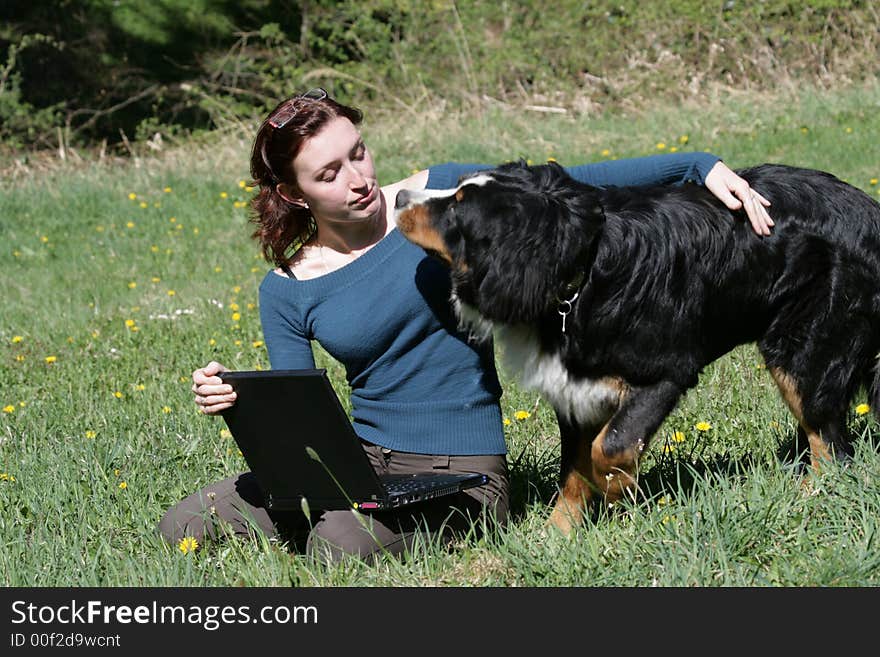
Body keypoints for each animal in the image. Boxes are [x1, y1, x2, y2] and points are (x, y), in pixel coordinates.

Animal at [396, 160, 880, 532]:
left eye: (458, 206)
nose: (400, 196)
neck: (579, 277)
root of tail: (868, 210)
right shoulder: (575, 390)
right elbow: (574, 470)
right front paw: (557, 536)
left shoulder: (664, 373)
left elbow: (608, 448)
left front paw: (620, 495)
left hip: (803, 350)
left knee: (830, 443)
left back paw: (810, 499)